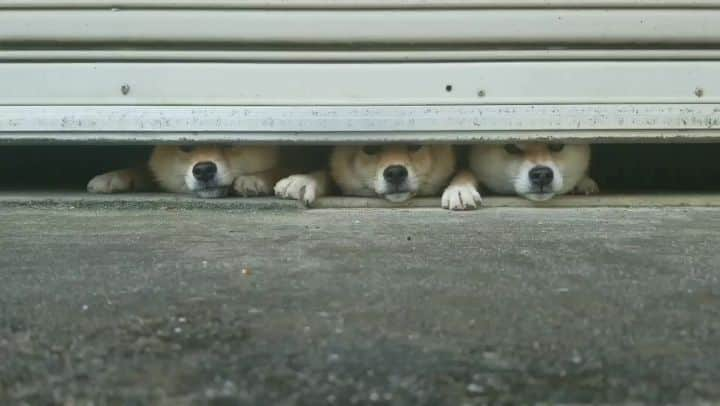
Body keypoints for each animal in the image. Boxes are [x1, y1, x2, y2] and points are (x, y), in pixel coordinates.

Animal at [88, 144, 282, 198]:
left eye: (229, 143)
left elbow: (277, 169)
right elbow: (144, 170)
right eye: (186, 146)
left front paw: (254, 179)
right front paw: (112, 177)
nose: (204, 170)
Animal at [452, 142, 600, 203]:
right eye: (511, 147)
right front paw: (460, 188)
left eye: (557, 145)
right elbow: (466, 172)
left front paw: (583, 182)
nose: (542, 175)